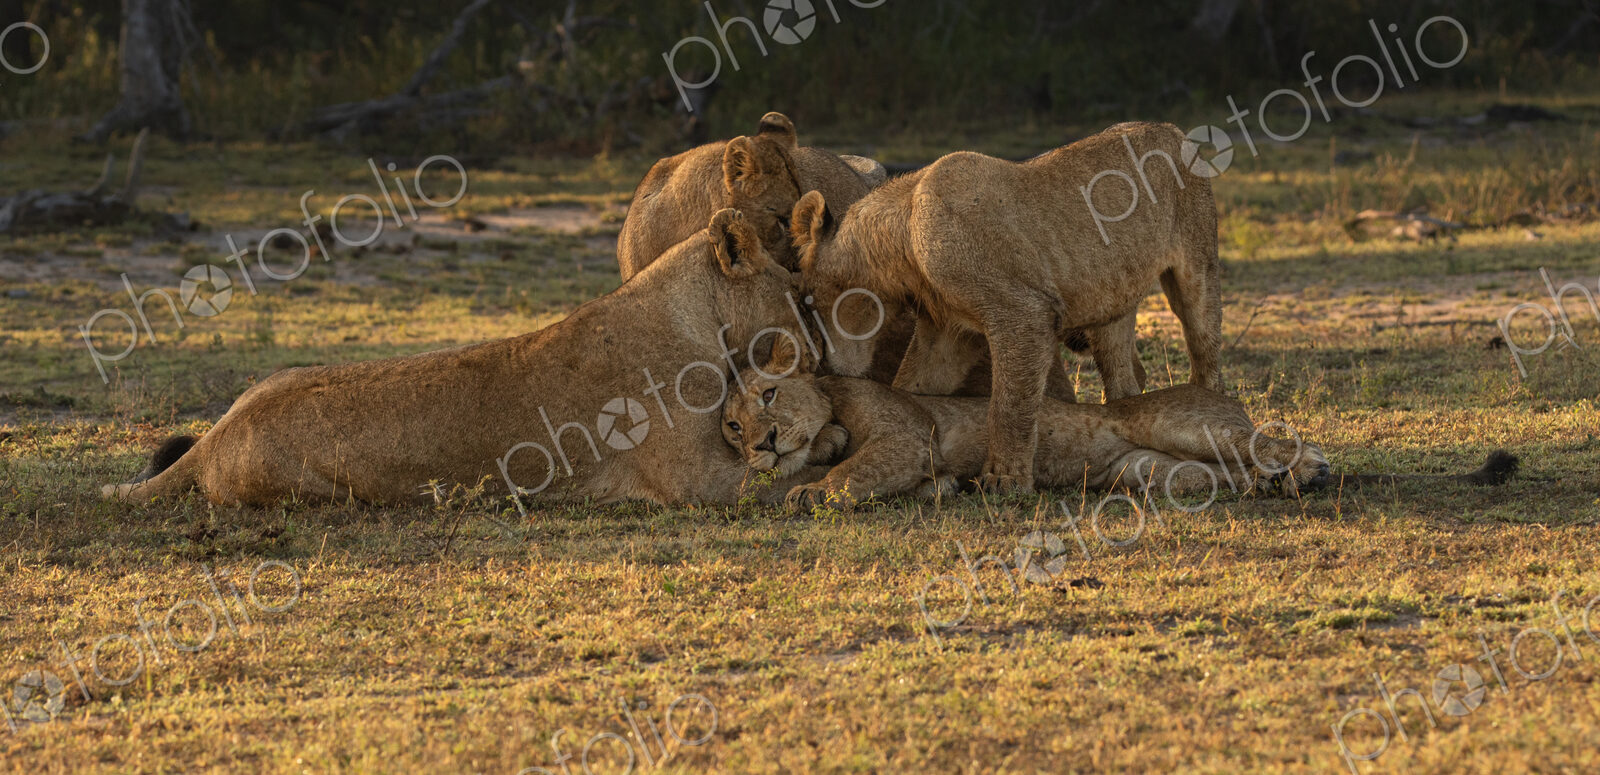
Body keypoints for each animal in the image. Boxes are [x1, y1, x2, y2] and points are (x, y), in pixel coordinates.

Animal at [103, 210, 822, 508]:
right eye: (799, 291)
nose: (818, 347)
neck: (696, 313)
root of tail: (213, 442)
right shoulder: (697, 481)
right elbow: (789, 476)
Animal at [790, 122, 1223, 494]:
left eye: (809, 301)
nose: (824, 366)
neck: (902, 242)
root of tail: (1173, 129)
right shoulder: (948, 331)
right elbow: (915, 385)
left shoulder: (1022, 314)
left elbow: (1009, 406)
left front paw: (1005, 479)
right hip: (1113, 300)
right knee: (1123, 374)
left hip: (1197, 267)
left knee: (1205, 348)